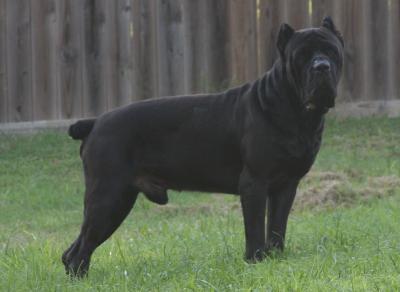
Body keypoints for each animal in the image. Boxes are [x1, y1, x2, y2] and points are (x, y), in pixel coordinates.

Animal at [62, 17, 344, 278]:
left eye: (331, 51)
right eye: (301, 56)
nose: (321, 66)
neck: (294, 109)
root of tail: (95, 122)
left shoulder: (285, 185)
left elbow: (277, 227)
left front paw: (275, 257)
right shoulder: (255, 183)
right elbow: (255, 228)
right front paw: (255, 260)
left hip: (115, 199)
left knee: (72, 250)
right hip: (109, 197)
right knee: (79, 250)